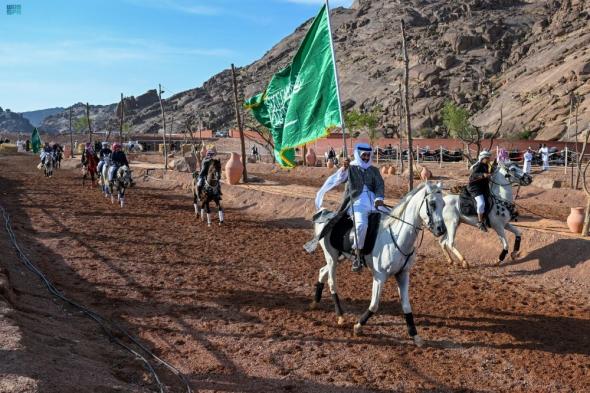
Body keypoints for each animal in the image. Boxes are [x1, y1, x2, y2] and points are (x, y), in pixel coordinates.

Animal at [312, 182, 446, 344]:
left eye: (444, 204)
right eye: (432, 204)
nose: (441, 229)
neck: (396, 236)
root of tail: (324, 213)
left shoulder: (403, 274)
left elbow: (406, 306)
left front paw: (415, 335)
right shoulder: (379, 276)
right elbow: (374, 305)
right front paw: (358, 326)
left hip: (339, 257)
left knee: (322, 271)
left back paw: (315, 302)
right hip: (331, 257)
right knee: (332, 283)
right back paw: (340, 316)